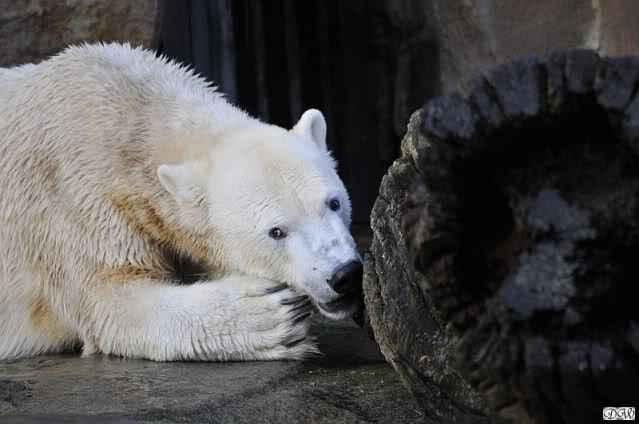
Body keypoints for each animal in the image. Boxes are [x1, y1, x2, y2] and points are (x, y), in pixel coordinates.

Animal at [0, 42, 363, 361]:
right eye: (276, 231)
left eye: (333, 203)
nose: (344, 274)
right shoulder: (72, 198)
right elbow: (109, 300)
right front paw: (272, 315)